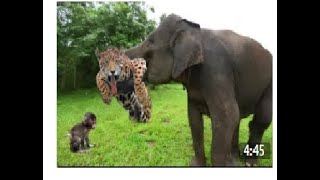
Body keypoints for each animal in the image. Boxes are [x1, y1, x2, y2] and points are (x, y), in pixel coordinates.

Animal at [125, 13, 272, 167]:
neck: (193, 31)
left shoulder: (216, 69)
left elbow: (227, 116)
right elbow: (194, 117)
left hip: (269, 84)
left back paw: (249, 162)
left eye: (150, 42)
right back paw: (234, 161)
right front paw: (197, 165)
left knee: (260, 119)